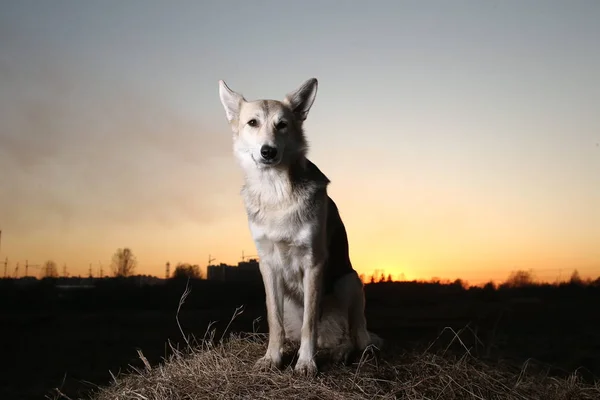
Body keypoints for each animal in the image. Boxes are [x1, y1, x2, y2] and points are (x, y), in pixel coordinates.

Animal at [218, 77, 382, 376]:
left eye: (282, 124)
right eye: (252, 123)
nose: (268, 151)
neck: (276, 193)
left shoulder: (313, 263)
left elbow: (310, 323)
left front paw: (306, 363)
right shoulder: (267, 264)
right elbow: (275, 321)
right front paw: (272, 359)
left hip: (349, 282)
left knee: (353, 337)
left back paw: (341, 352)